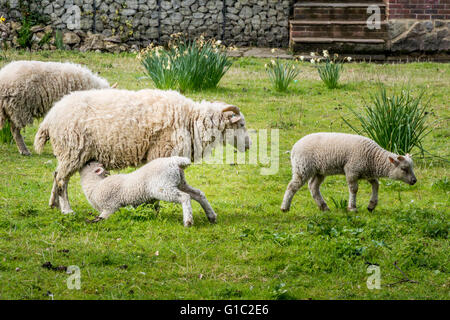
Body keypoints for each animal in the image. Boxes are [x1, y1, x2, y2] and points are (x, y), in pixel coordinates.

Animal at [35, 88, 251, 215]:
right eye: (240, 124)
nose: (248, 145)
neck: (192, 121)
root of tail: (50, 117)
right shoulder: (161, 152)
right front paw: (153, 208)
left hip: (68, 153)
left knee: (57, 175)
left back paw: (53, 203)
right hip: (73, 149)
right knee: (62, 180)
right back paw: (66, 210)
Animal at [79, 156, 216, 226]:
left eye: (89, 164)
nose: (88, 160)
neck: (94, 186)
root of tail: (176, 161)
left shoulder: (111, 207)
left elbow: (103, 217)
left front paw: (92, 221)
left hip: (162, 187)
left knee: (185, 197)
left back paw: (188, 221)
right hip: (180, 182)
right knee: (199, 194)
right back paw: (211, 216)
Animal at [280, 132, 416, 212]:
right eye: (403, 169)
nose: (414, 180)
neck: (373, 158)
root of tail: (295, 147)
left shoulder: (367, 172)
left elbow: (376, 185)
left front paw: (371, 205)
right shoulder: (352, 170)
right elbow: (354, 189)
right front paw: (352, 207)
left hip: (319, 171)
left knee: (313, 186)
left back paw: (324, 207)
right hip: (302, 167)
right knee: (292, 186)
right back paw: (285, 207)